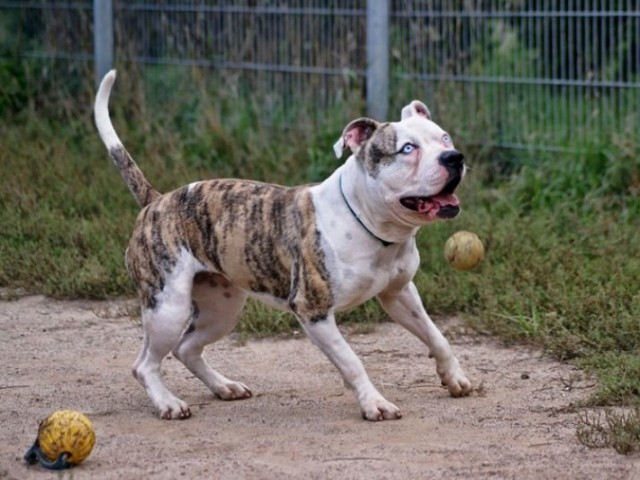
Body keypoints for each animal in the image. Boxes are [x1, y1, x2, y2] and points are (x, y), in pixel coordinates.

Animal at [96, 70, 476, 420]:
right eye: (407, 149)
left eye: (445, 138)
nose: (454, 157)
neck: (371, 225)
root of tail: (156, 201)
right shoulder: (313, 311)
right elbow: (352, 361)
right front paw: (374, 403)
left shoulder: (399, 294)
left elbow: (436, 336)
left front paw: (454, 377)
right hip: (167, 309)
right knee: (145, 364)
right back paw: (168, 403)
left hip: (221, 309)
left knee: (187, 348)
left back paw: (224, 387)